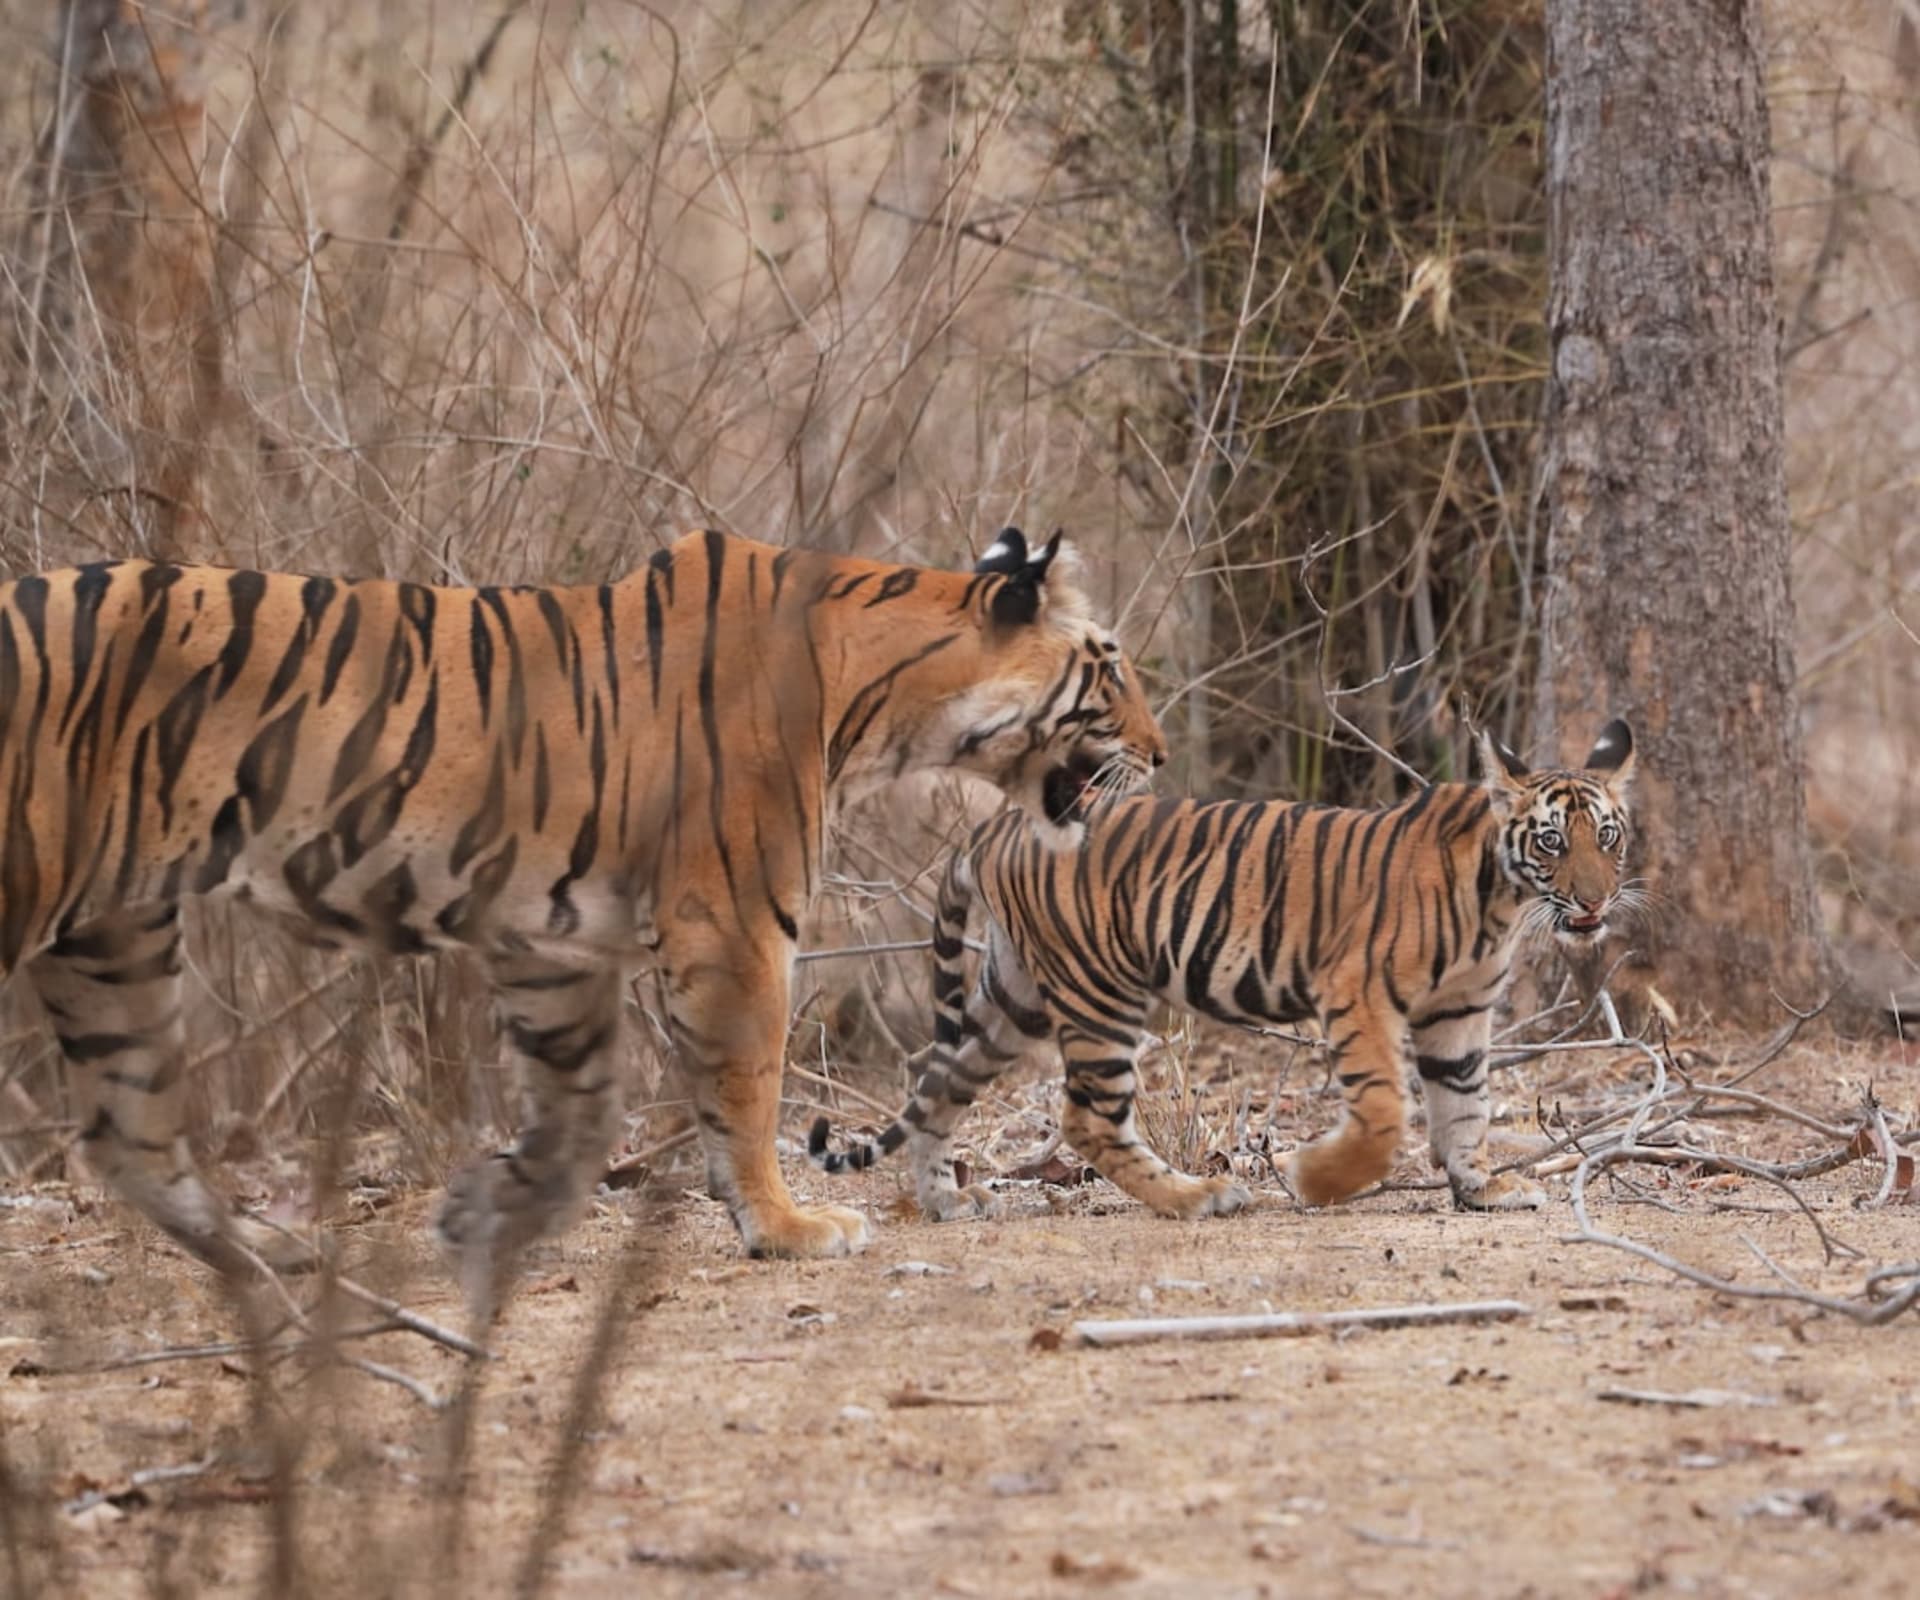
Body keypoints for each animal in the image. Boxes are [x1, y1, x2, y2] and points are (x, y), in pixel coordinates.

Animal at [0, 526, 1165, 1308]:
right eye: (1110, 667)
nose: (1158, 756)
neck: (875, 694)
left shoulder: (549, 941)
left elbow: (580, 1111)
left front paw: (487, 1213)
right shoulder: (734, 924)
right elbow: (749, 1086)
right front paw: (787, 1226)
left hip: (114, 942)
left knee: (130, 1138)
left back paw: (275, 1258)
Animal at [810, 721, 1637, 1221]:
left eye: (1607, 837)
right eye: (1553, 841)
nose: (1596, 902)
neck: (1500, 897)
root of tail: (997, 825)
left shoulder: (1458, 1012)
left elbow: (1466, 1105)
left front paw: (1483, 1187)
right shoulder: (1358, 994)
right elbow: (1385, 1112)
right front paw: (1315, 1179)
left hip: (1013, 999)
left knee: (935, 1072)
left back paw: (944, 1202)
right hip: (1099, 990)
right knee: (1087, 1117)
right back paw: (1195, 1195)